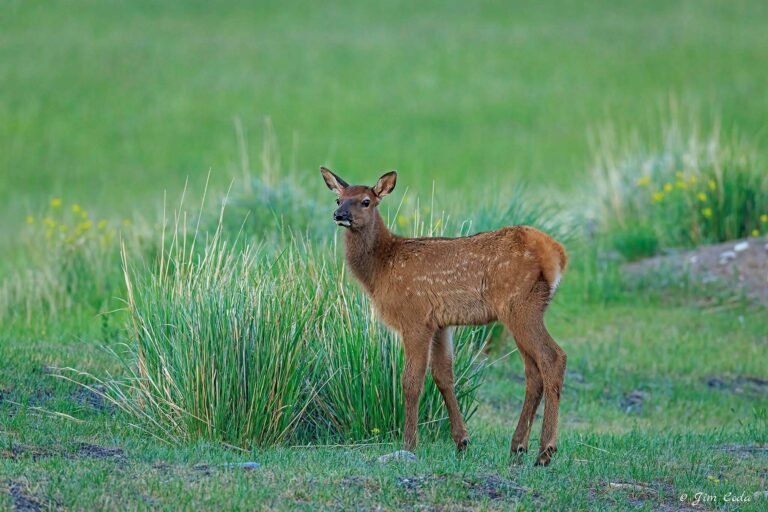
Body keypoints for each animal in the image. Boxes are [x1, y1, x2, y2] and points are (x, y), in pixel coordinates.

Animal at [320, 167, 568, 466]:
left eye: (366, 201)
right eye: (338, 199)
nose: (340, 215)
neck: (381, 269)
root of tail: (556, 254)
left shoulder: (414, 317)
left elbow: (411, 381)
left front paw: (409, 444)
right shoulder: (440, 324)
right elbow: (443, 377)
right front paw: (462, 441)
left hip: (520, 305)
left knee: (552, 357)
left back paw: (545, 451)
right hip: (522, 310)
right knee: (533, 372)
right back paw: (518, 446)